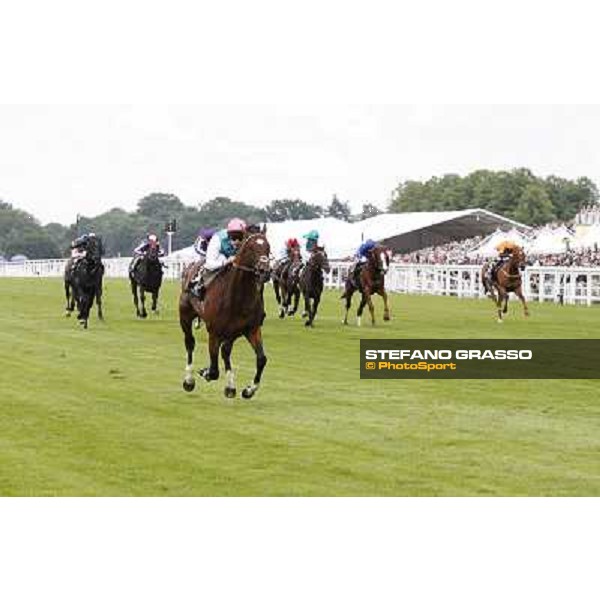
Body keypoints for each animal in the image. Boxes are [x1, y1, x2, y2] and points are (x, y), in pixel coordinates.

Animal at [179, 233, 270, 398]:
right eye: (251, 248)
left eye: (268, 246)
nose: (264, 271)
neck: (238, 297)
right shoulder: (214, 332)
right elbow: (214, 370)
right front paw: (205, 372)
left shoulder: (250, 329)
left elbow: (261, 359)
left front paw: (249, 390)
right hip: (185, 315)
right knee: (190, 343)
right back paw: (189, 380)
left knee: (226, 351)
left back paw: (230, 386)